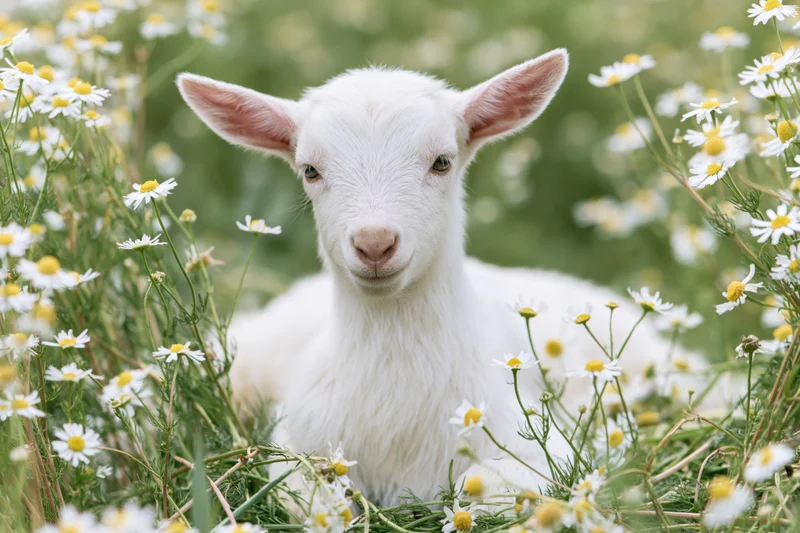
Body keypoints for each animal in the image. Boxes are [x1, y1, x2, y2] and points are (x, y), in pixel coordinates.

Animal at [177, 50, 718, 505]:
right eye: (309, 170)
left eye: (442, 161)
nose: (375, 243)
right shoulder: (295, 437)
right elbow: (306, 492)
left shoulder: (546, 451)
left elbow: (486, 489)